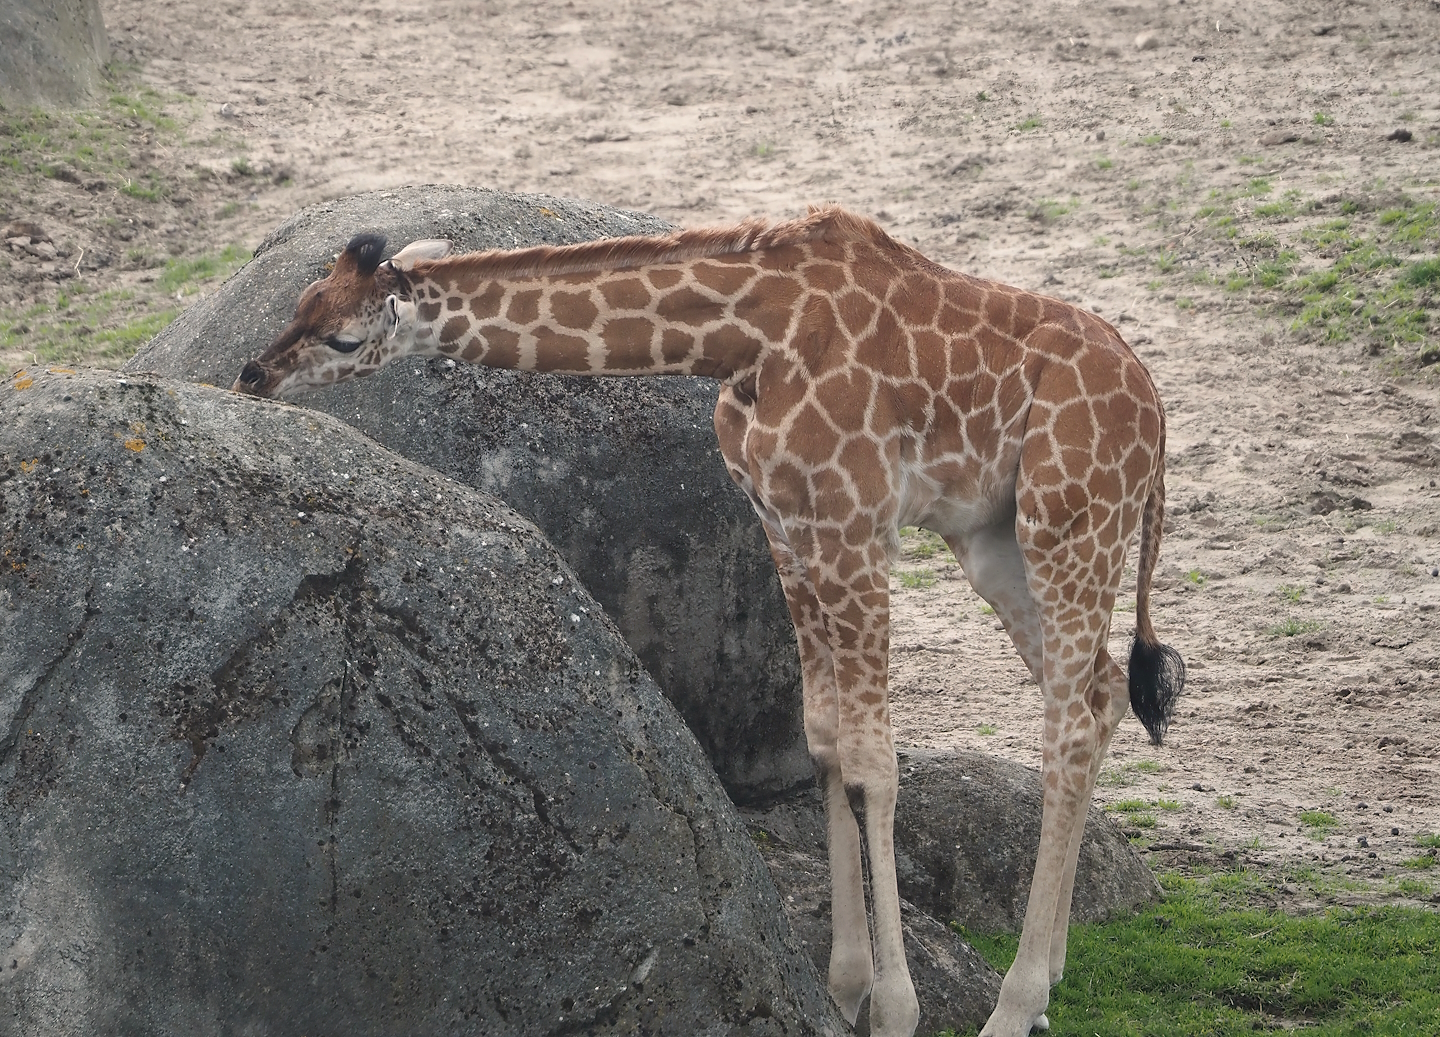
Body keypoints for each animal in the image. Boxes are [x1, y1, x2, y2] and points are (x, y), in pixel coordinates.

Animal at [233, 206, 1185, 1037]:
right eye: (301, 300)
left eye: (343, 337)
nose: (253, 376)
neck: (745, 333)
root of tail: (1157, 413)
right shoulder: (788, 524)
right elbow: (826, 740)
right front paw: (843, 990)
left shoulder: (854, 521)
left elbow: (875, 762)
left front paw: (895, 1009)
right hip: (995, 538)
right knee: (1098, 693)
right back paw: (1049, 978)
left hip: (1070, 520)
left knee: (1070, 719)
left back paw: (1013, 1006)